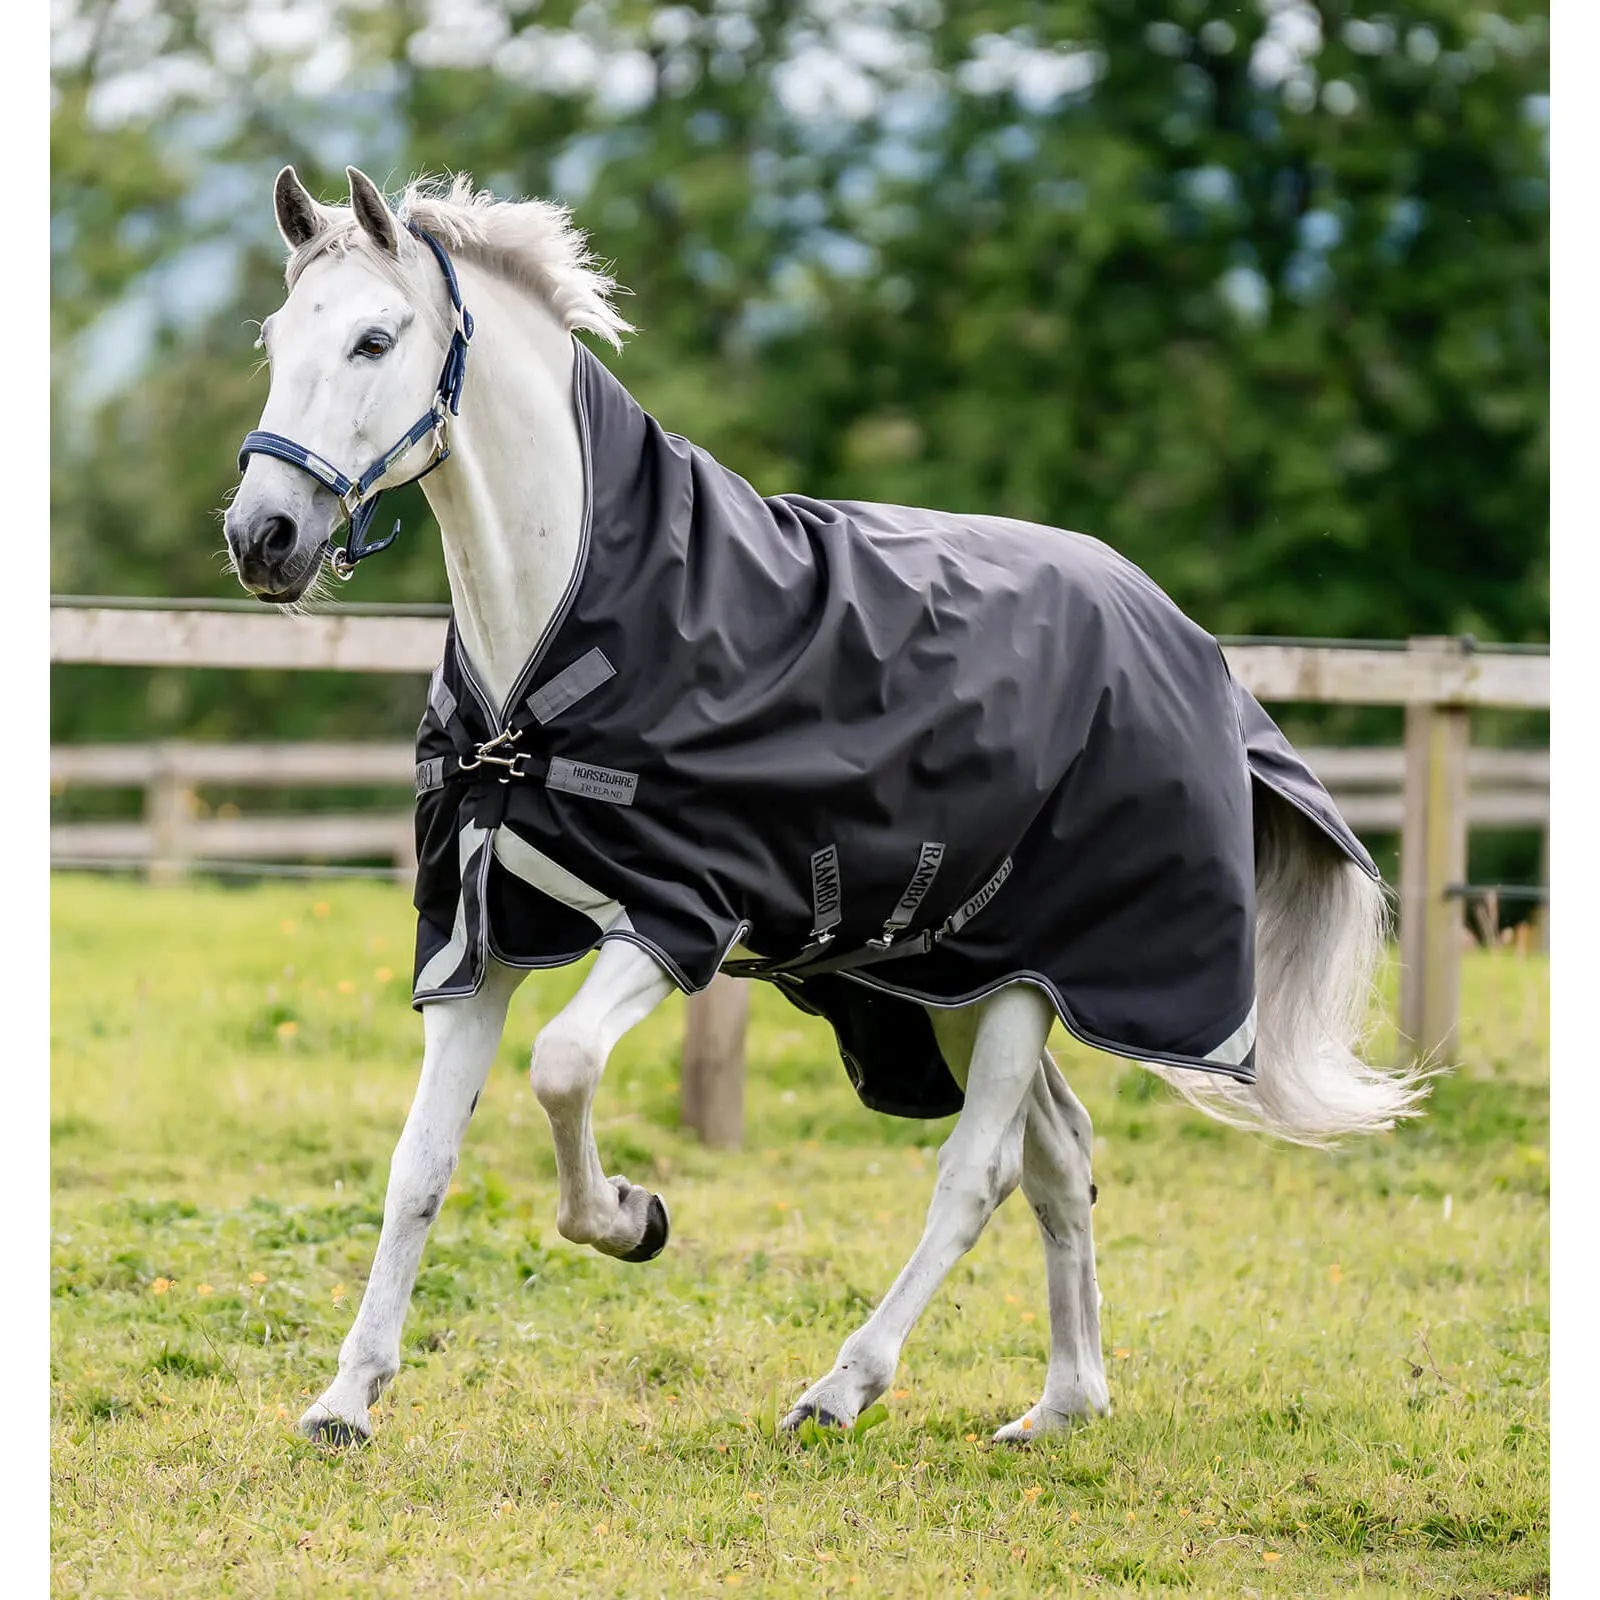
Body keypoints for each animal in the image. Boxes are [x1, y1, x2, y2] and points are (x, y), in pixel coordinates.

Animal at [225, 166, 1427, 1447]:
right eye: (276, 340)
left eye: (375, 338)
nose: (264, 538)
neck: (558, 655)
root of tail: (1185, 638)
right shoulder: (477, 939)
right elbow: (419, 1164)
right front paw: (346, 1399)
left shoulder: (674, 918)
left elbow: (562, 1067)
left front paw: (632, 1217)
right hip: (955, 977)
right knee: (1060, 1157)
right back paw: (1060, 1404)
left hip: (1030, 977)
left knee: (980, 1173)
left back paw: (843, 1385)